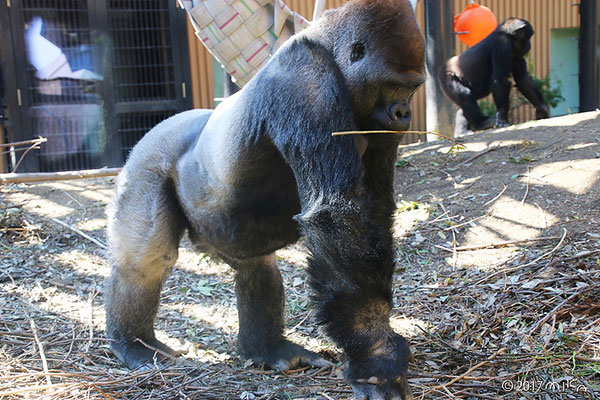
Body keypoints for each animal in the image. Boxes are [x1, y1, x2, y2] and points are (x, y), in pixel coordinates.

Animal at [105, 1, 426, 398]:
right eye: (394, 85)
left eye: (413, 88)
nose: (404, 113)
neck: (327, 49)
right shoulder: (304, 80)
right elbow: (339, 215)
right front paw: (377, 356)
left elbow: (374, 210)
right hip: (145, 163)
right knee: (145, 261)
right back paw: (131, 342)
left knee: (257, 267)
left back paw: (267, 349)